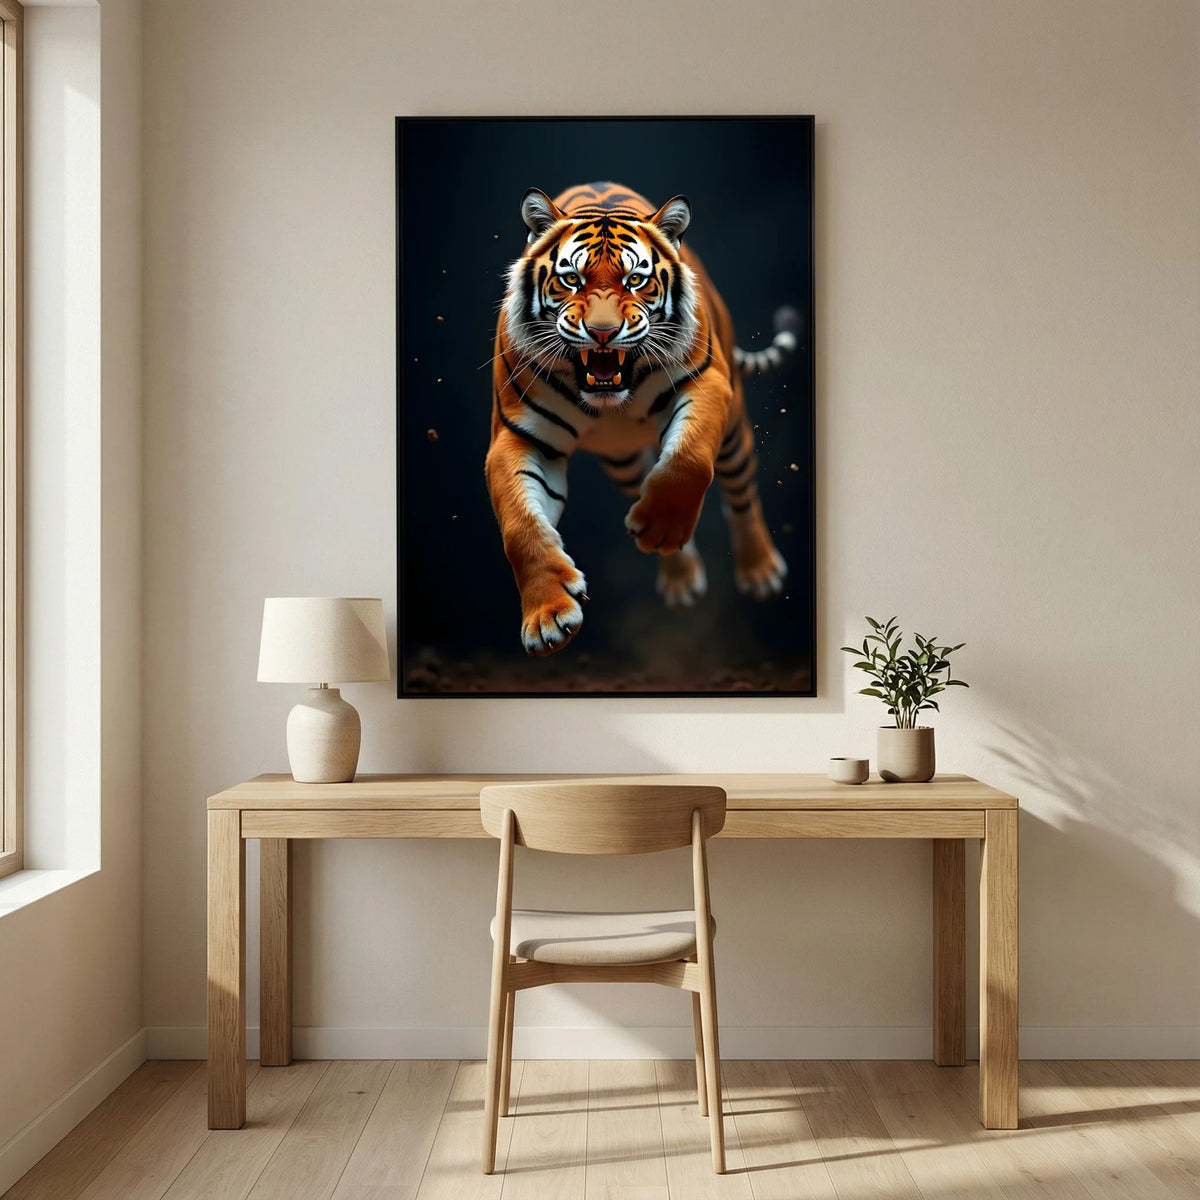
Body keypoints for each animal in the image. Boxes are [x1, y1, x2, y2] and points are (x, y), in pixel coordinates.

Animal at [486, 181, 797, 656]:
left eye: (636, 280)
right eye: (571, 279)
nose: (602, 332)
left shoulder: (707, 385)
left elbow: (688, 460)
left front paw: (661, 527)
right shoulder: (516, 436)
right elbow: (520, 527)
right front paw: (548, 619)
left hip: (734, 434)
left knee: (740, 493)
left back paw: (760, 571)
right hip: (622, 460)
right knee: (644, 480)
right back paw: (680, 579)